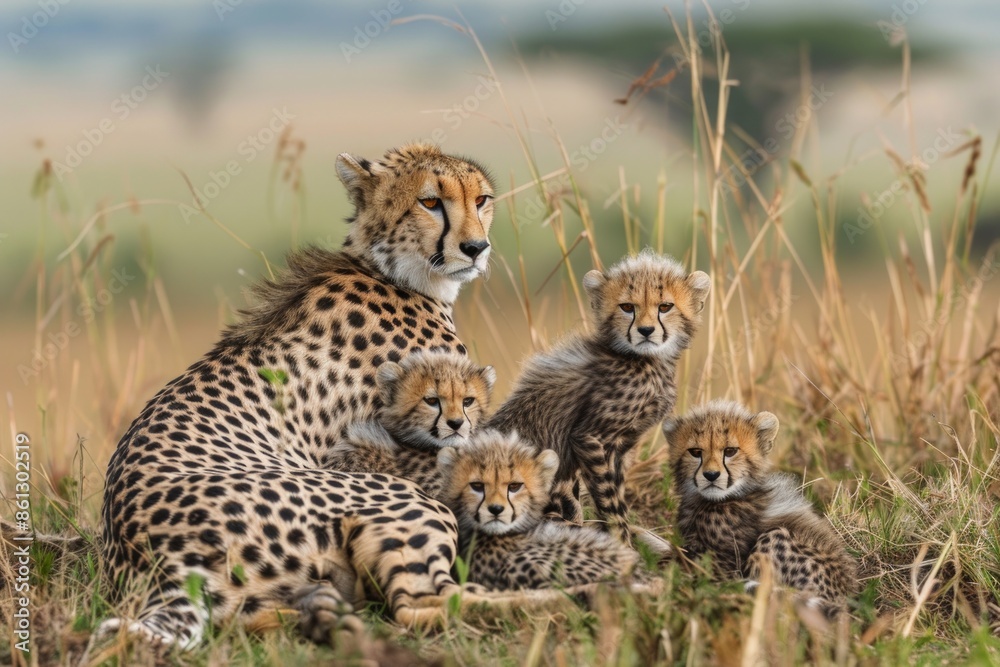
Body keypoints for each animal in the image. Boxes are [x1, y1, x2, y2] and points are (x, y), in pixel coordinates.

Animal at [485, 249, 711, 546]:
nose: (646, 331)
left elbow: (613, 493)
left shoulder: (619, 446)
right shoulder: (589, 437)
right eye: (627, 307)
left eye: (665, 307)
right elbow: (610, 500)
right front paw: (623, 542)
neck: (645, 360)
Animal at [664, 400, 857, 615]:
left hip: (774, 538)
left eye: (730, 451)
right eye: (696, 452)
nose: (711, 475)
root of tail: (845, 597)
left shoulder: (724, 569)